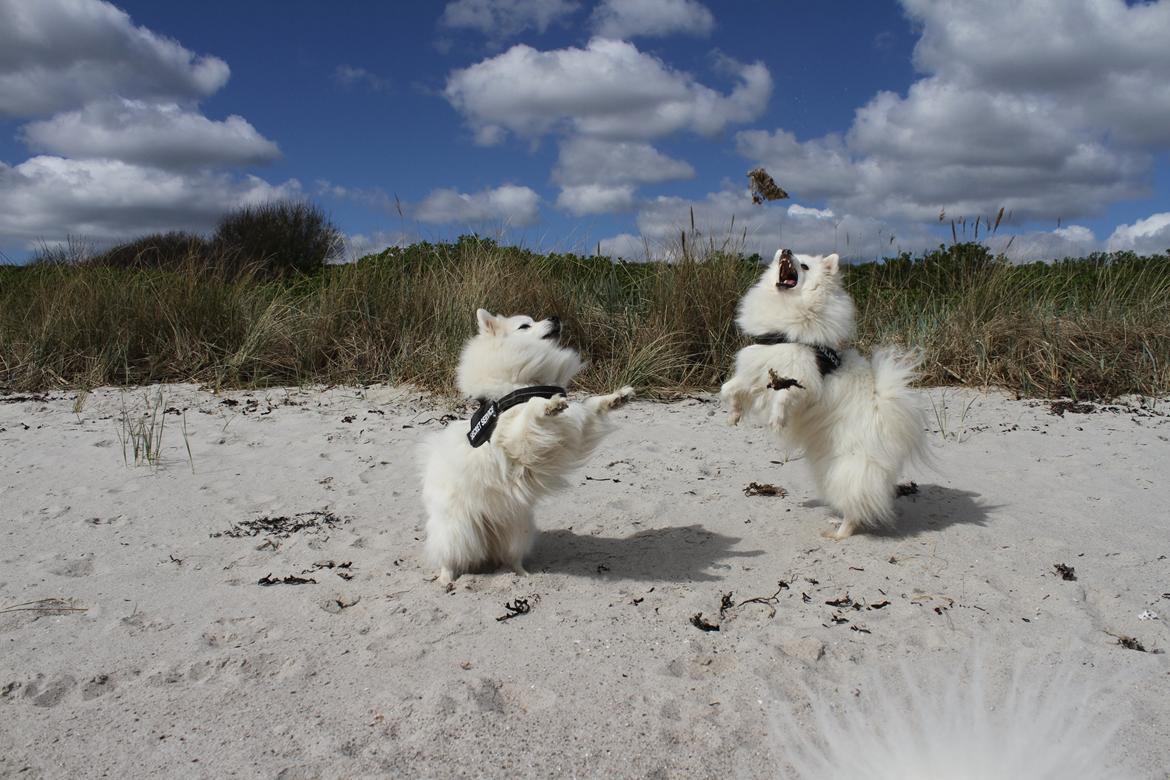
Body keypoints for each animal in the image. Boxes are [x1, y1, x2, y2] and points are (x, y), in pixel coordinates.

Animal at [421, 308, 636, 582]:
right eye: (525, 326)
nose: (555, 317)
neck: (527, 381)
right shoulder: (515, 439)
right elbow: (532, 409)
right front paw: (548, 405)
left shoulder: (573, 428)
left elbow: (591, 404)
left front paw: (616, 397)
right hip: (458, 531)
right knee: (449, 557)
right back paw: (446, 579)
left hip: (518, 531)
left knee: (511, 558)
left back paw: (523, 574)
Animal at [716, 246, 926, 540]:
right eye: (785, 256)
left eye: (804, 266)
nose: (786, 250)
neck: (786, 327)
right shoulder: (757, 371)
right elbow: (730, 388)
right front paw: (734, 414)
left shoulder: (802, 380)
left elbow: (784, 398)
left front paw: (777, 420)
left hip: (845, 472)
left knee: (856, 506)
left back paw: (838, 533)